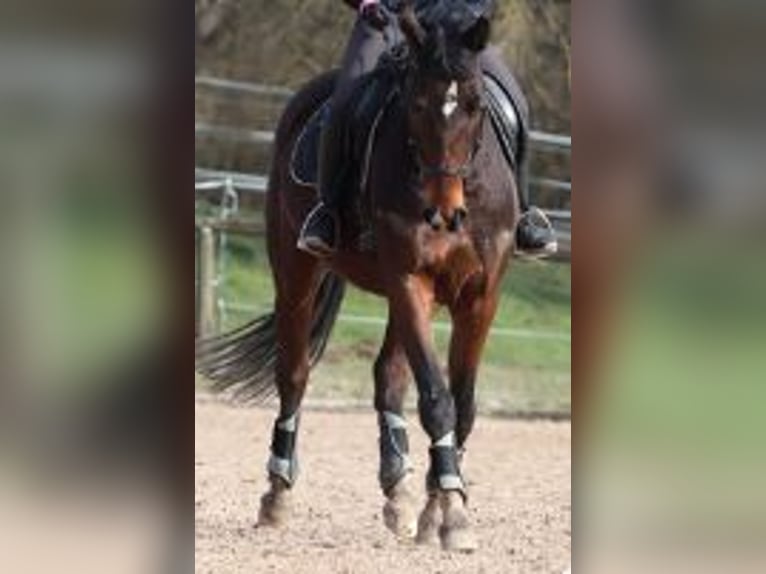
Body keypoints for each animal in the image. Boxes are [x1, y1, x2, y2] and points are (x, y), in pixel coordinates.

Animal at [196, 4, 520, 552]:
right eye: (415, 104)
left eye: (475, 104)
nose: (444, 214)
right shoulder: (410, 279)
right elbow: (437, 400)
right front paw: (452, 512)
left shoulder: (481, 295)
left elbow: (464, 403)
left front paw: (437, 505)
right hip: (297, 271)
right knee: (294, 374)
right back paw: (277, 494)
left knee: (388, 377)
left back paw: (398, 490)